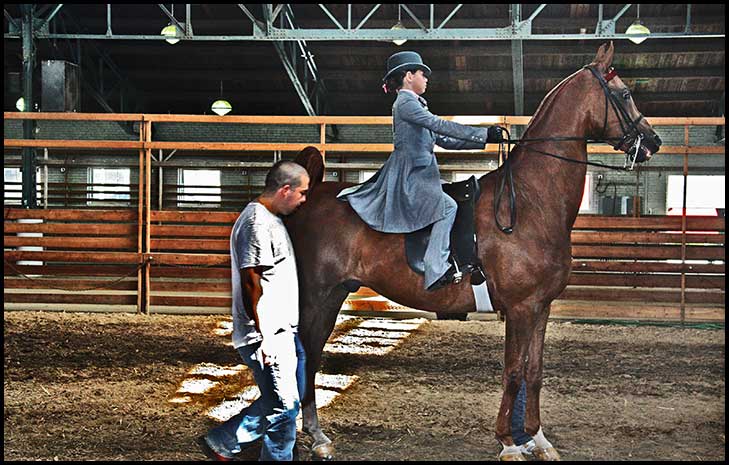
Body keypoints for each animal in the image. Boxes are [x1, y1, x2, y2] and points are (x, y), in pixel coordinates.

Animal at [284, 42, 660, 460]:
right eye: (624, 94)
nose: (653, 141)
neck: (528, 201)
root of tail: (308, 197)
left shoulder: (540, 307)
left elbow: (534, 372)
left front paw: (538, 439)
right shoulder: (520, 308)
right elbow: (513, 373)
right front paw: (509, 442)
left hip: (333, 295)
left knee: (310, 354)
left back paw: (315, 435)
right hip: (315, 296)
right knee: (304, 354)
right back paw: (307, 435)